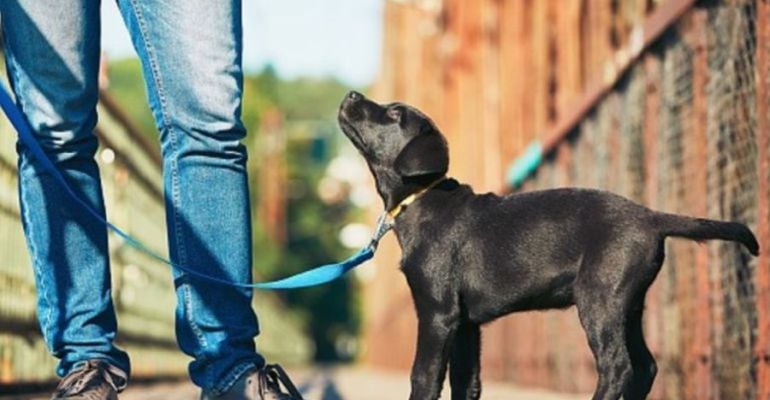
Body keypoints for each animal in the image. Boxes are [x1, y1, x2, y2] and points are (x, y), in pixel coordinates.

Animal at [336, 91, 756, 400]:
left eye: (393, 113)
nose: (351, 94)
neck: (421, 198)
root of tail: (651, 216)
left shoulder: (437, 312)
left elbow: (423, 377)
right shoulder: (467, 324)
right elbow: (466, 383)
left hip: (599, 298)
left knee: (618, 366)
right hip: (629, 303)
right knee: (645, 366)